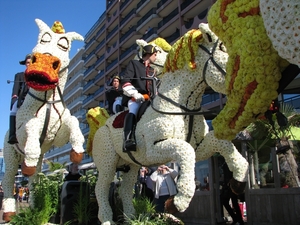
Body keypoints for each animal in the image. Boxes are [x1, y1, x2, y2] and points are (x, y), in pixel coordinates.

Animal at [2, 18, 84, 221]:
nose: (42, 63)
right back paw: (9, 213)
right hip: (10, 155)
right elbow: (31, 125)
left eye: (64, 44)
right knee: (8, 180)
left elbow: (74, 122)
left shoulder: (58, 135)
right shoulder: (25, 128)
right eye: (43, 38)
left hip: (39, 160)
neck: (48, 100)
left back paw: (34, 206)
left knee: (33, 179)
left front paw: (77, 152)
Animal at [91, 23, 248, 225]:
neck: (183, 104)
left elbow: (222, 144)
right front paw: (178, 202)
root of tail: (102, 125)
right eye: (222, 48)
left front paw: (238, 181)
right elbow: (186, 153)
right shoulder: (155, 148)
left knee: (125, 189)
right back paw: (107, 219)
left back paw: (131, 218)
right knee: (101, 188)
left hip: (131, 165)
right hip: (107, 163)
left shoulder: (199, 146)